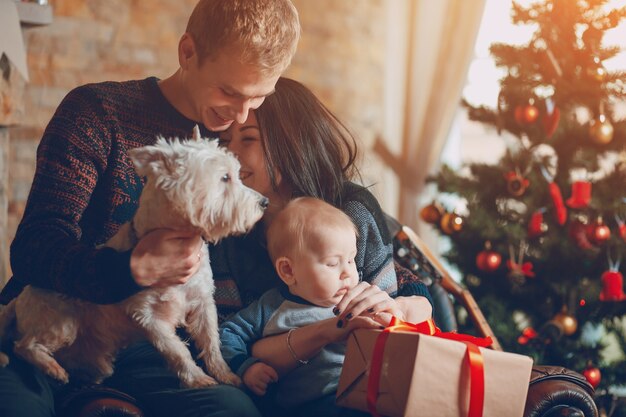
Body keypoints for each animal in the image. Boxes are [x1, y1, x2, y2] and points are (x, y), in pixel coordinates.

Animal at [0, 130, 266, 386]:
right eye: (225, 178)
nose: (264, 202)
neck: (181, 238)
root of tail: (18, 298)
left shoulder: (202, 303)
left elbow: (211, 342)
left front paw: (225, 375)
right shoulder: (147, 317)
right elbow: (177, 350)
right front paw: (198, 379)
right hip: (61, 320)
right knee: (23, 346)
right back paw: (53, 369)